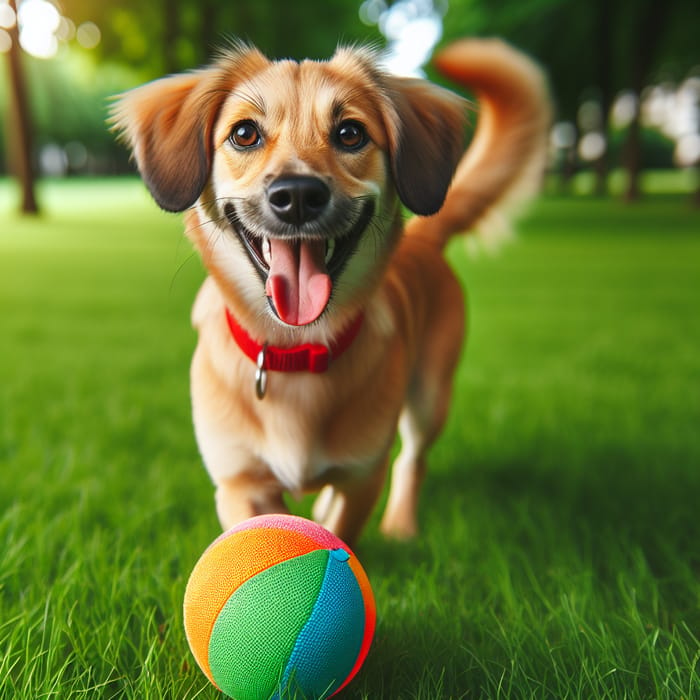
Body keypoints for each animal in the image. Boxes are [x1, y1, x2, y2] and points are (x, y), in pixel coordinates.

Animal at [112, 38, 552, 544]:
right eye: (244, 134)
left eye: (350, 133)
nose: (298, 195)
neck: (296, 352)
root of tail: (425, 239)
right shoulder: (240, 482)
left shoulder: (362, 476)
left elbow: (344, 524)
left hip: (429, 397)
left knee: (412, 459)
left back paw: (401, 525)